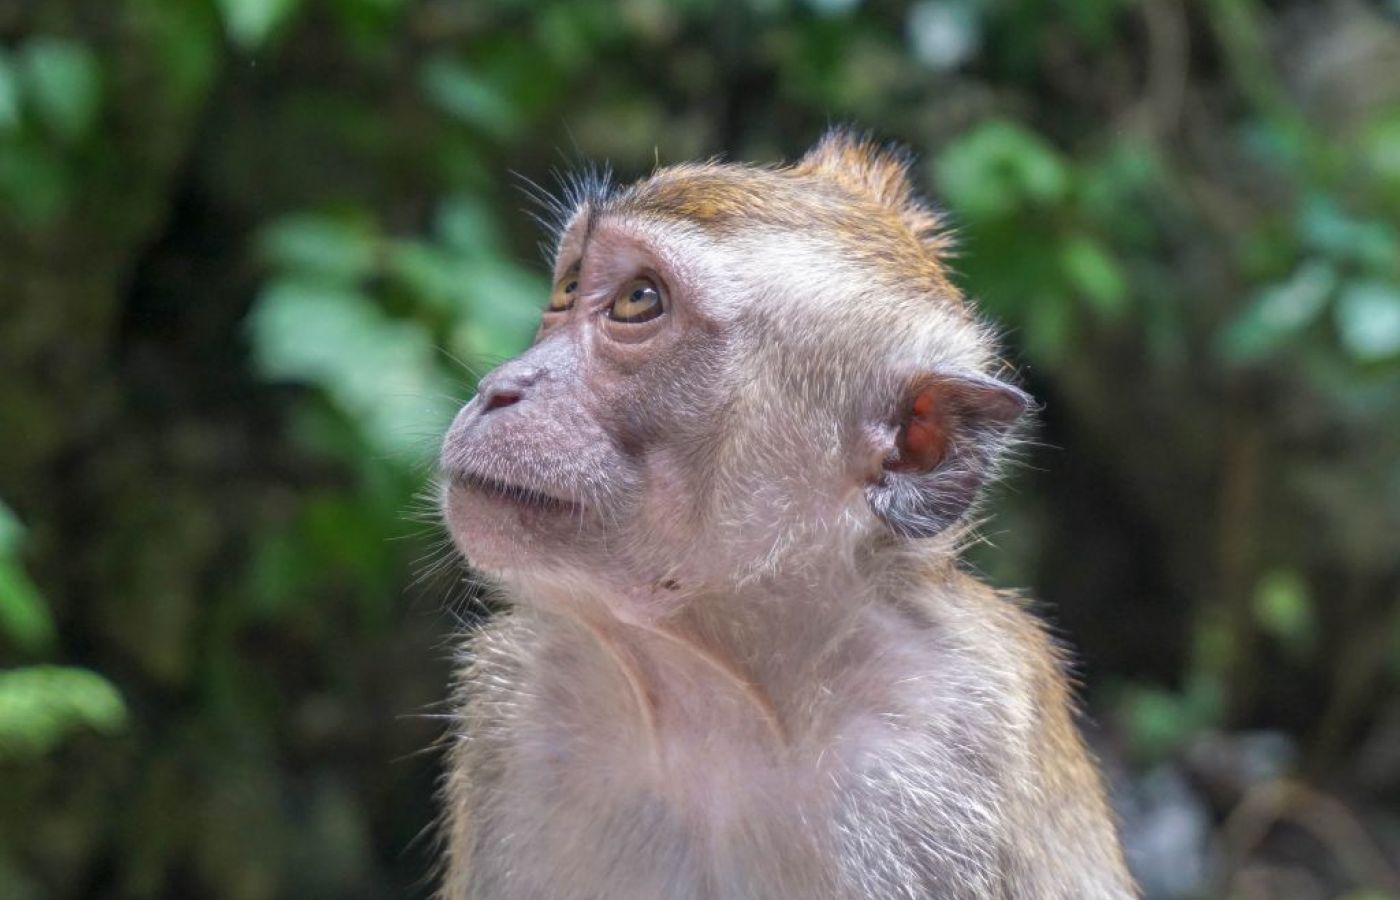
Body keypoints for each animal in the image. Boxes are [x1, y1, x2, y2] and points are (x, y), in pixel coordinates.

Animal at [436, 129, 1138, 899]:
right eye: (567, 288)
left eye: (637, 301)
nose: (499, 388)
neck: (720, 682)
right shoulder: (515, 714)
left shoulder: (937, 759)